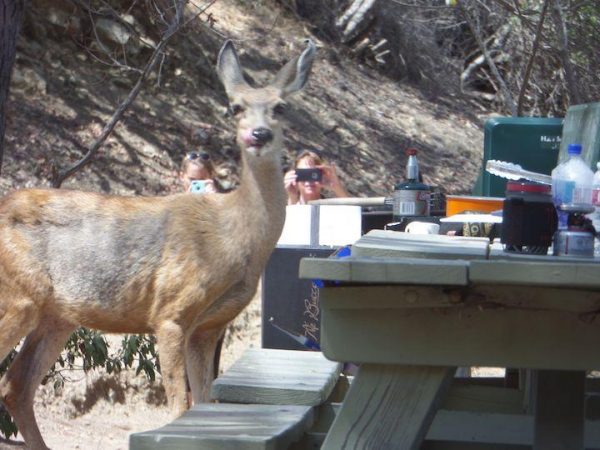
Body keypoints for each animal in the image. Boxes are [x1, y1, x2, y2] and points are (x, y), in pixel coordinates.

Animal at [0, 37, 318, 446]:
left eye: (280, 106)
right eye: (235, 106)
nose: (259, 135)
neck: (231, 237)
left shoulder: (209, 328)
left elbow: (204, 403)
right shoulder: (170, 311)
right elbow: (180, 408)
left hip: (57, 315)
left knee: (16, 385)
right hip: (18, 294)